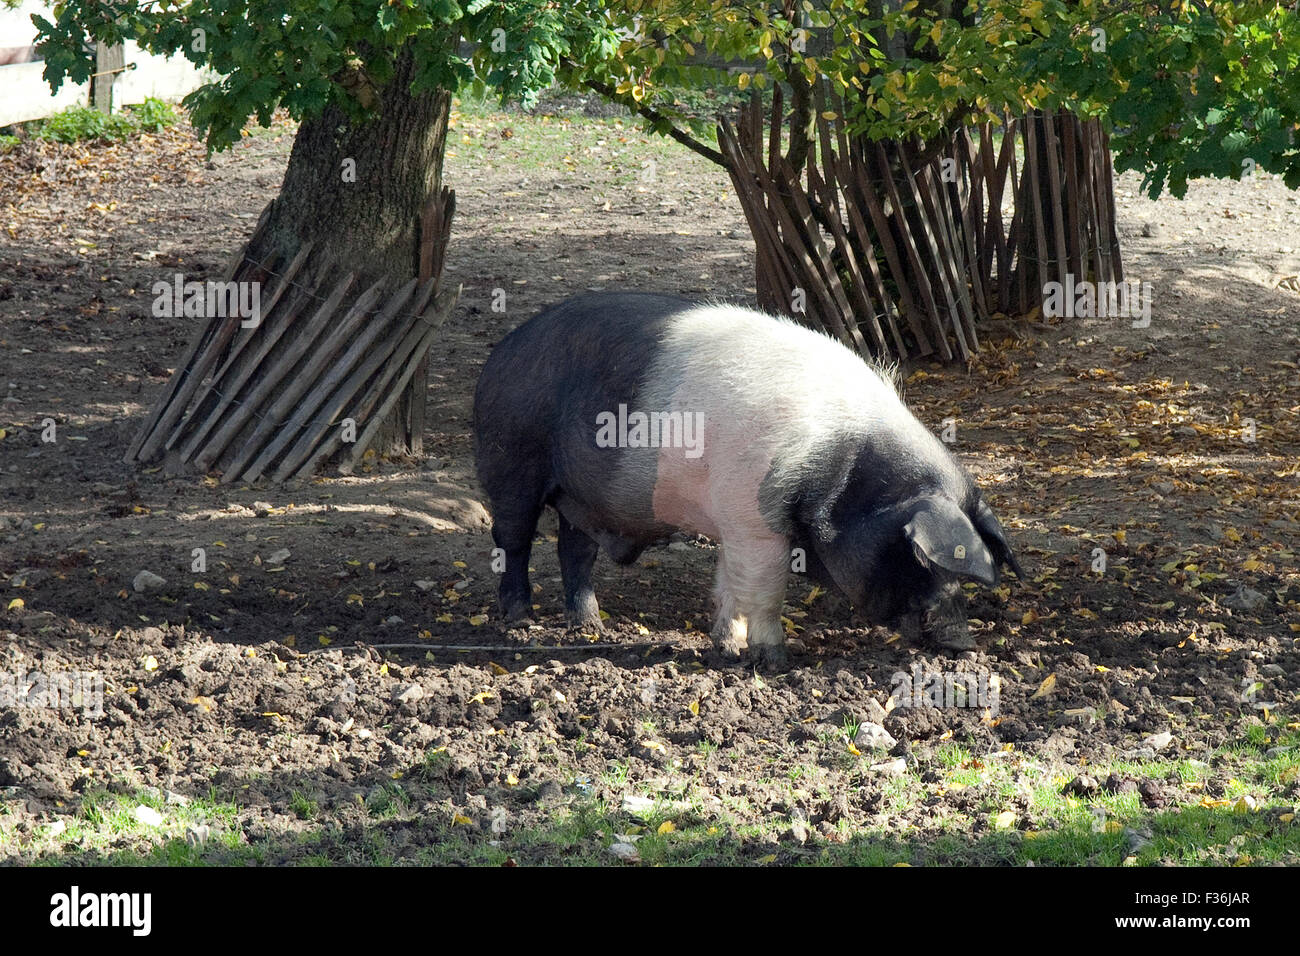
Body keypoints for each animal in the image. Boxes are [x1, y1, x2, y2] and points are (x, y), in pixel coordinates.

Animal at [473, 291, 1019, 665]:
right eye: (918, 558)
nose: (963, 644)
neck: (842, 471)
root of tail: (503, 350)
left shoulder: (735, 523)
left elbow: (728, 584)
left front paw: (727, 646)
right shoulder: (756, 522)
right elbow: (763, 587)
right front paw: (773, 661)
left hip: (583, 496)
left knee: (575, 549)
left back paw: (589, 628)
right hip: (510, 459)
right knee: (512, 539)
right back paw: (518, 621)